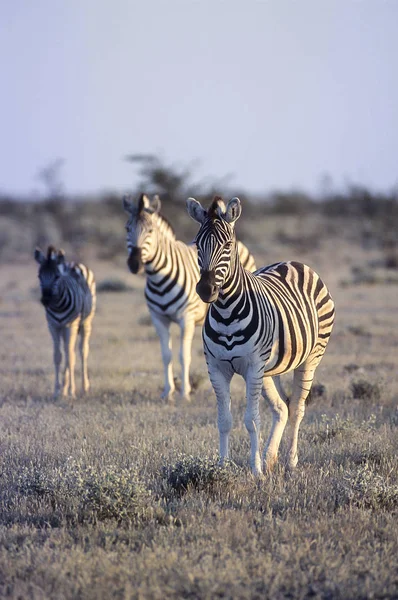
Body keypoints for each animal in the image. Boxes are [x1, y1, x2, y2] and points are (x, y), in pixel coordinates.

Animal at [33, 244, 96, 398]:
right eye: (39, 276)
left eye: (57, 277)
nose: (45, 300)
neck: (57, 305)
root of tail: (72, 263)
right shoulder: (53, 326)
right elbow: (58, 356)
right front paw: (57, 390)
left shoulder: (70, 325)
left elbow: (71, 357)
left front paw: (72, 391)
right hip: (64, 328)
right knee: (68, 352)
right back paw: (64, 386)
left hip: (86, 321)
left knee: (82, 351)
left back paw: (84, 387)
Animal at [123, 192, 256, 400]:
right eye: (127, 229)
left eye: (150, 231)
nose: (134, 264)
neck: (158, 276)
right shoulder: (158, 318)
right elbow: (166, 355)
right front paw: (167, 392)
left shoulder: (186, 318)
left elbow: (183, 355)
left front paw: (184, 393)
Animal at [185, 196, 334, 474]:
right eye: (197, 244)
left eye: (228, 245)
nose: (206, 289)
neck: (226, 312)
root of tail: (294, 262)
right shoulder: (216, 368)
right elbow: (224, 420)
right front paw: (223, 468)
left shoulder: (253, 366)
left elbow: (252, 420)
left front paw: (256, 471)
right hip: (269, 370)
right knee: (282, 409)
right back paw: (270, 457)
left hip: (310, 358)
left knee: (296, 408)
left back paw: (290, 461)